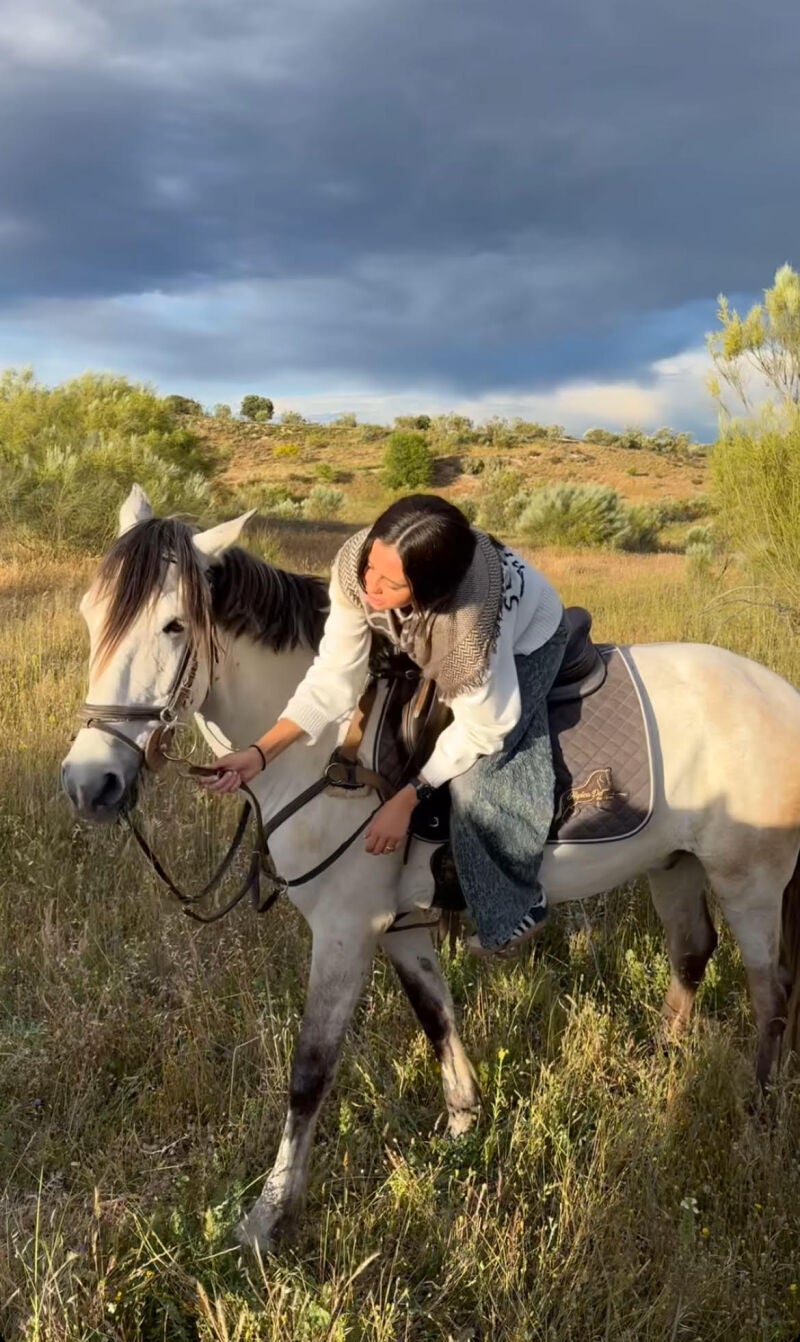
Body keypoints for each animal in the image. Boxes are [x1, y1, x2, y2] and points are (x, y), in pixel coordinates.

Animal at [61, 491, 800, 1245]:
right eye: (91, 614)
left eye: (174, 625)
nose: (91, 784)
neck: (326, 748)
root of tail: (781, 694)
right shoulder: (400, 926)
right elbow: (436, 1017)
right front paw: (462, 1128)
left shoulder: (345, 930)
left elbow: (310, 1071)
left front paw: (267, 1216)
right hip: (673, 865)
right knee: (691, 954)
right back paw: (662, 1068)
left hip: (750, 882)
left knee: (770, 993)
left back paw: (756, 1118)